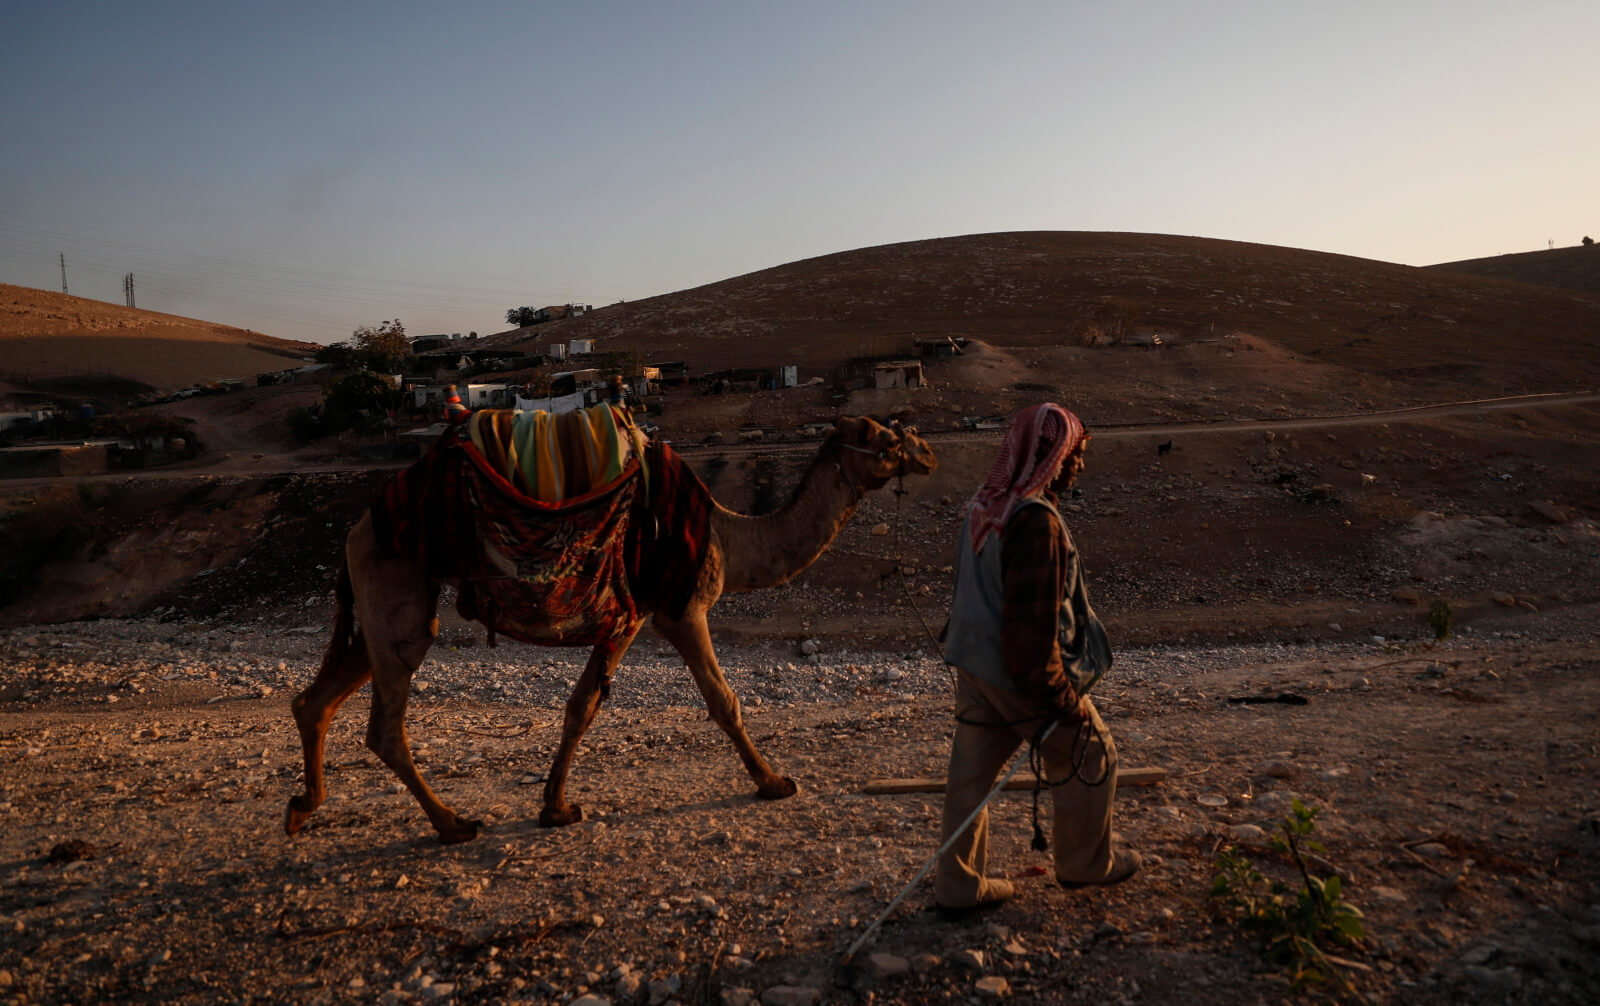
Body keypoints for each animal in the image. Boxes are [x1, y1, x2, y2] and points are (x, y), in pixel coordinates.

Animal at [286, 412, 934, 844]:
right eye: (885, 440)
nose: (927, 451)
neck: (727, 538)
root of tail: (356, 529)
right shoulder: (678, 609)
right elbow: (723, 700)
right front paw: (773, 782)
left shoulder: (625, 616)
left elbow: (581, 706)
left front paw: (555, 807)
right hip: (396, 581)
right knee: (384, 725)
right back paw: (451, 823)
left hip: (385, 602)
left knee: (318, 698)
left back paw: (303, 805)